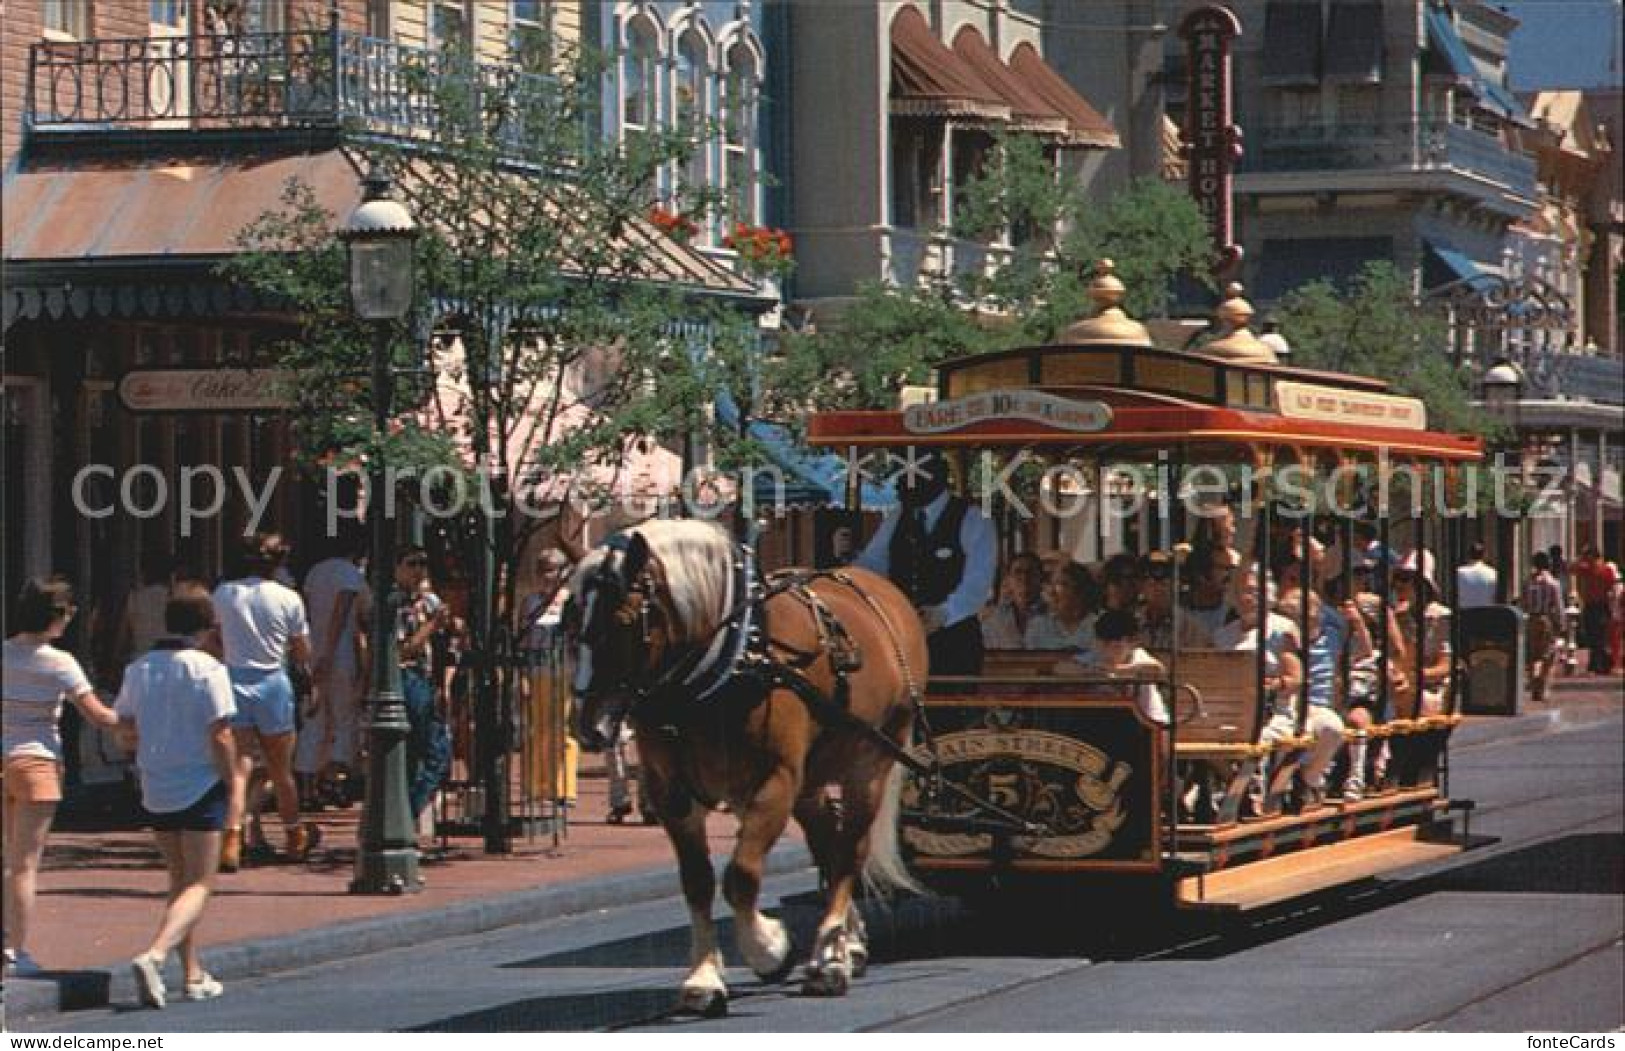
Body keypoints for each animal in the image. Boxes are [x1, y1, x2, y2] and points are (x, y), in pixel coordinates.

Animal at [572, 523, 929, 1013]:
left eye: (625, 620)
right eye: (572, 619)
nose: (589, 727)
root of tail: (885, 594)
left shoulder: (774, 782)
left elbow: (741, 875)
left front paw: (770, 949)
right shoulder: (672, 794)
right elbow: (698, 882)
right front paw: (704, 978)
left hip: (871, 762)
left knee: (848, 853)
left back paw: (829, 962)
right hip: (810, 781)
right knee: (828, 844)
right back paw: (846, 945)